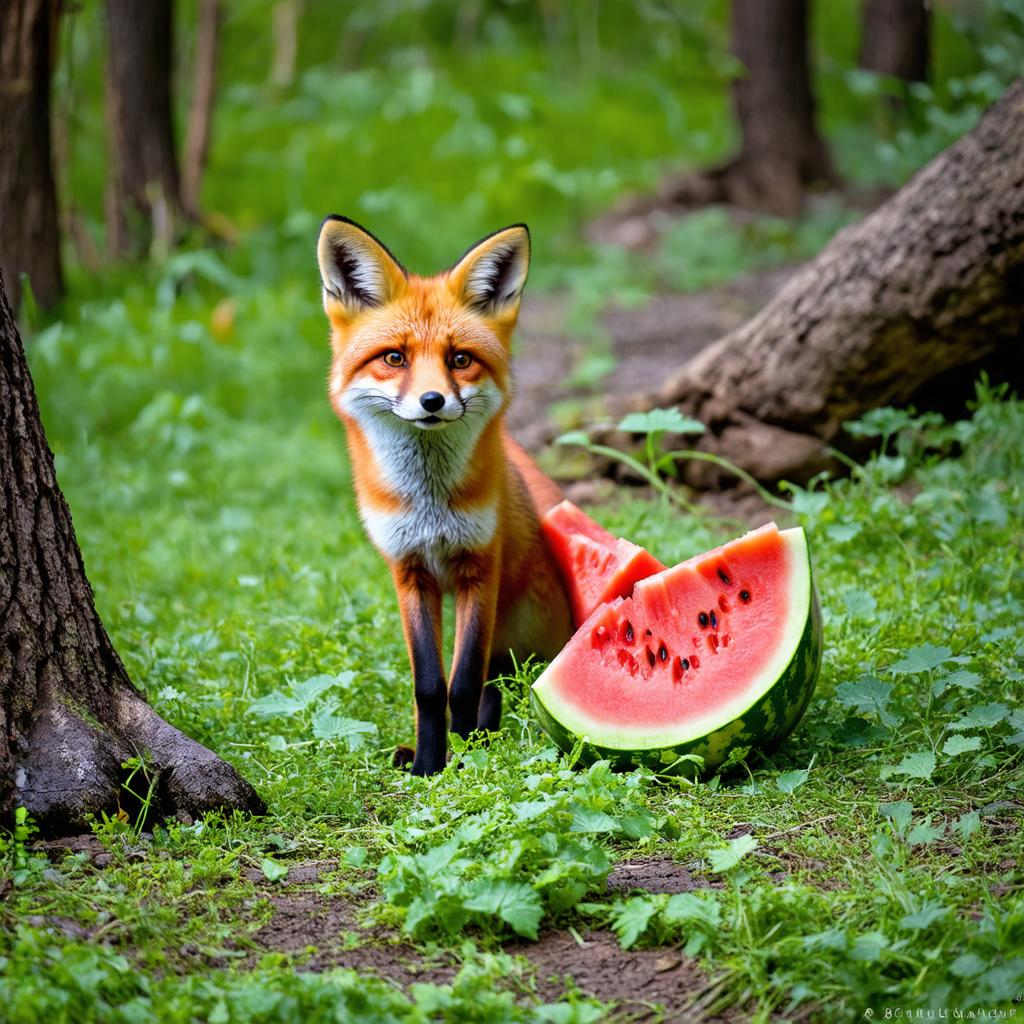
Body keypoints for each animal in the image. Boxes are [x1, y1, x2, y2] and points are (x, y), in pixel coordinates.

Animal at [316, 216, 574, 776]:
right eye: (395, 358)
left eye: (460, 360)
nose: (432, 401)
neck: (430, 505)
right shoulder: (410, 572)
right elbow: (430, 687)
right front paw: (429, 765)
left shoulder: (479, 567)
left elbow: (464, 684)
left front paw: (467, 758)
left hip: (520, 634)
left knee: (500, 681)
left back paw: (486, 737)